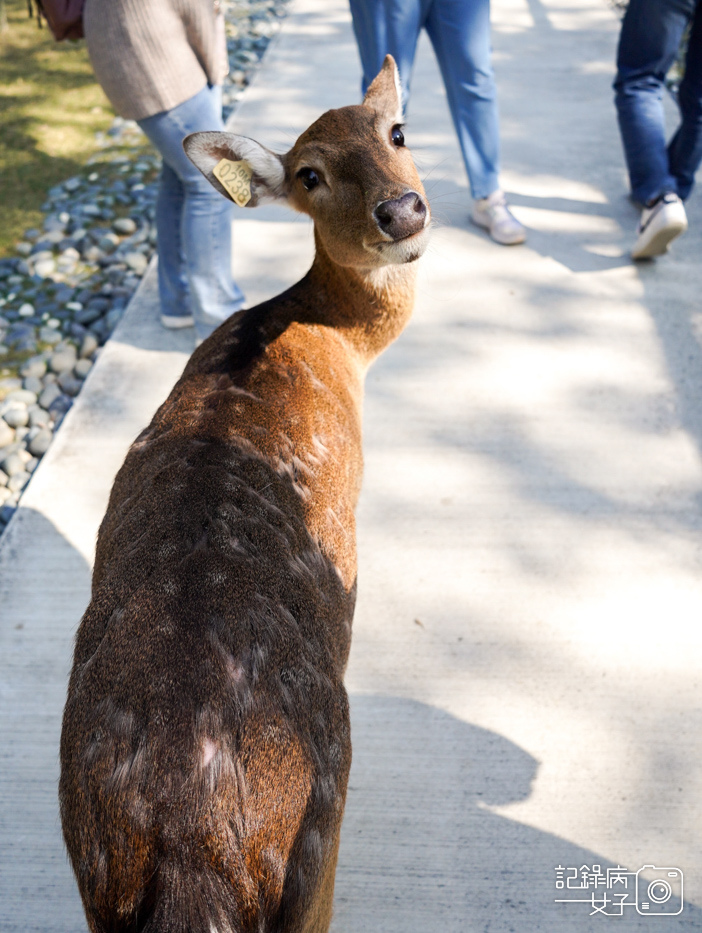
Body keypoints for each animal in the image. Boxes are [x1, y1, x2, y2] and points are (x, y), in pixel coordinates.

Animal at [60, 56, 432, 932]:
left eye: (397, 131)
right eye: (309, 175)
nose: (400, 210)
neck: (334, 336)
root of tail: (194, 858)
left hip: (95, 874)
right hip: (317, 843)